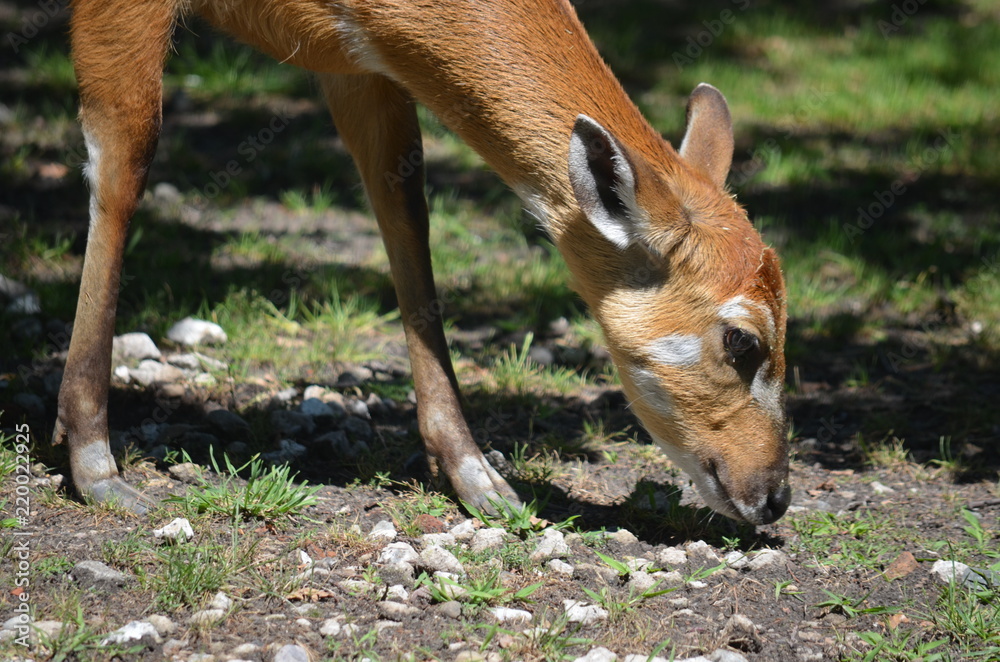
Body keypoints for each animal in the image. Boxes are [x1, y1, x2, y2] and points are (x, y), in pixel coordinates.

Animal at [62, 1, 788, 528]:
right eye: (741, 340)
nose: (775, 497)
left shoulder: (358, 62)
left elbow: (405, 213)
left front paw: (482, 481)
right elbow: (123, 161)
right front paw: (97, 467)